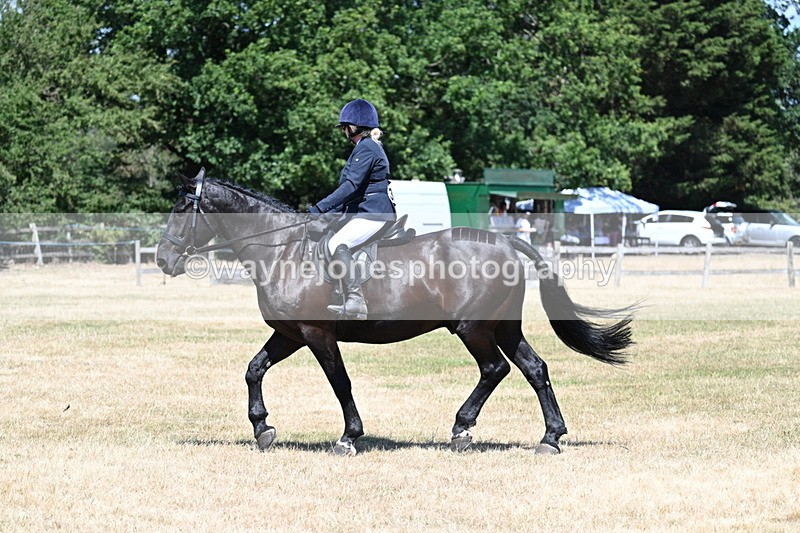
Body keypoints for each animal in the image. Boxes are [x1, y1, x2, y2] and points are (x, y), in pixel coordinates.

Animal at [156, 168, 635, 456]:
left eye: (181, 208)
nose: (162, 259)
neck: (283, 250)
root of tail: (505, 240)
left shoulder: (316, 334)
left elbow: (340, 382)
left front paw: (349, 437)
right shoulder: (291, 333)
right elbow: (254, 369)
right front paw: (262, 429)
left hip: (474, 328)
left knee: (494, 369)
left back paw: (462, 429)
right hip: (503, 327)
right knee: (535, 369)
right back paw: (550, 437)